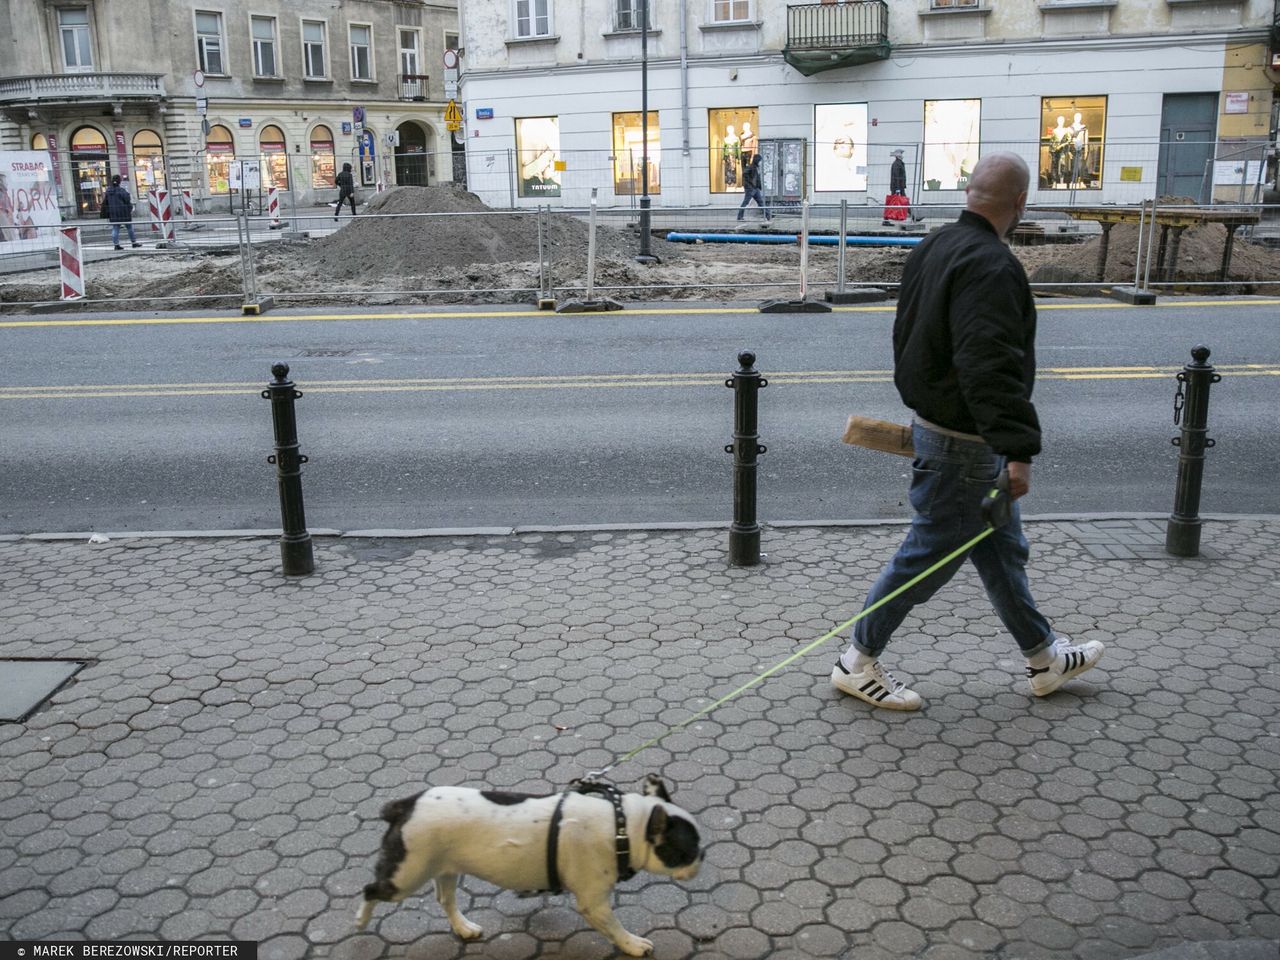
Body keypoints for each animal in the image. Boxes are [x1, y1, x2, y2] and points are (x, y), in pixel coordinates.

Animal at [355, 778, 706, 957]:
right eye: (687, 851)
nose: (702, 855)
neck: (622, 827)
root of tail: (404, 806)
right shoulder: (594, 903)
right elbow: (615, 927)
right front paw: (632, 944)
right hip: (406, 876)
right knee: (371, 889)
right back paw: (361, 920)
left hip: (444, 868)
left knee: (445, 898)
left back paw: (464, 928)